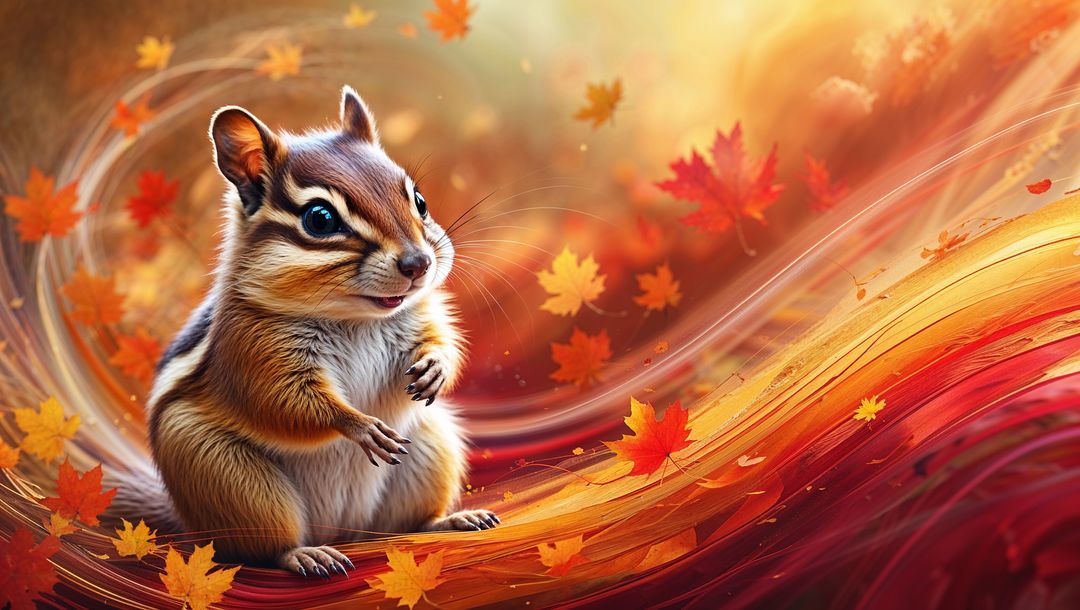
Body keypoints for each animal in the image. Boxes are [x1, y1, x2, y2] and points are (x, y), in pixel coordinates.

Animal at [109, 86, 498, 577]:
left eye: (420, 200)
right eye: (320, 219)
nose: (419, 263)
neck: (355, 318)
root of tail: (344, 531)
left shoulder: (422, 315)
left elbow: (443, 341)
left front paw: (436, 369)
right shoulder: (250, 349)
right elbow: (285, 402)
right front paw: (358, 425)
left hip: (431, 445)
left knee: (404, 524)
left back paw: (452, 520)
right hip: (227, 476)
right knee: (263, 547)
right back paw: (306, 554)